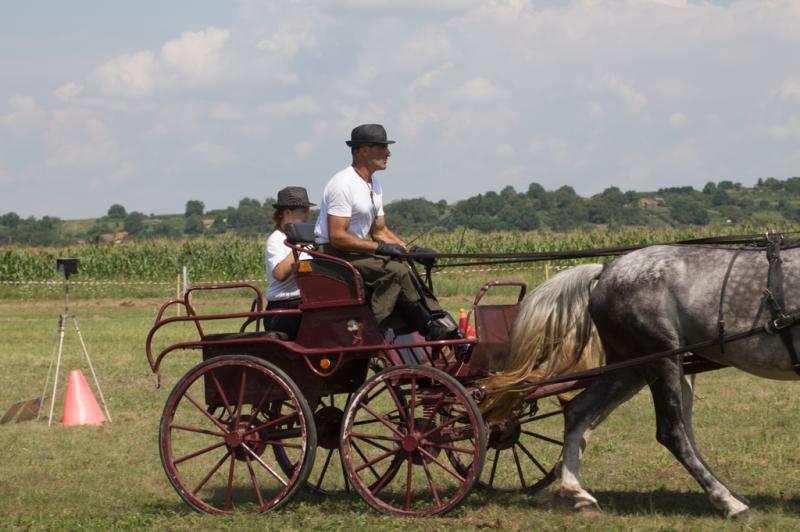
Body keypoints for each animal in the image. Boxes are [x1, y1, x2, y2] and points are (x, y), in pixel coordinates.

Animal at [481, 241, 800, 518]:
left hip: (631, 368)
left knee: (579, 411)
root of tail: (606, 270)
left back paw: (579, 495)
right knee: (672, 432)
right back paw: (728, 502)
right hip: (659, 359)